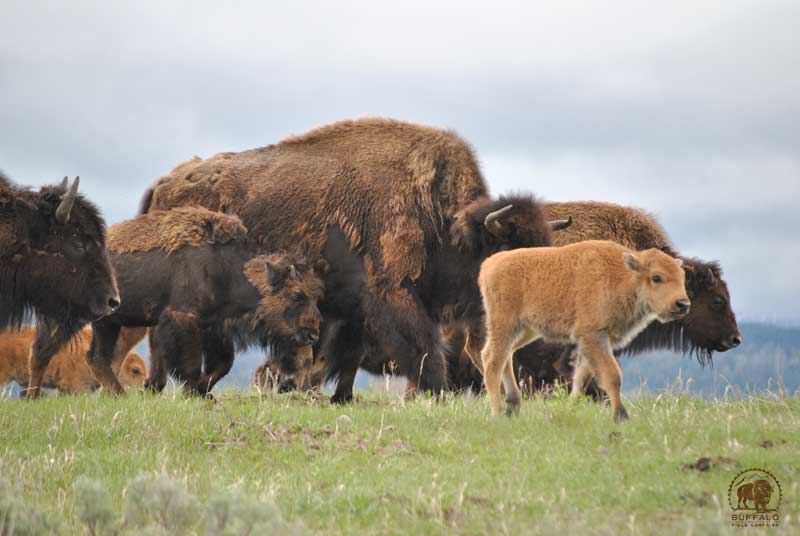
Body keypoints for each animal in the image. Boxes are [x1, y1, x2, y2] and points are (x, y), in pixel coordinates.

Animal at [95, 207, 326, 396]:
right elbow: (191, 364)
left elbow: (222, 365)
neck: (228, 268)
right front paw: (193, 392)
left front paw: (200, 392)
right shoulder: (184, 319)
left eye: (315, 297)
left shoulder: (213, 326)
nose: (313, 334)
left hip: (107, 323)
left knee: (97, 357)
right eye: (297, 295)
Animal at [139, 117, 568, 402]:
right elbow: (425, 348)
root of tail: (163, 184)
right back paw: (161, 387)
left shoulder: (353, 308)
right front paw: (437, 392)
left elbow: (349, 356)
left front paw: (341, 398)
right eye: (504, 254)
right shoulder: (391, 294)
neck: (442, 220)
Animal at [478, 241, 692, 420]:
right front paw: (621, 416)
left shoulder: (591, 342)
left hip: (525, 330)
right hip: (504, 324)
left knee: (506, 354)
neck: (622, 275)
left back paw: (513, 405)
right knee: (492, 359)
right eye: (656, 277)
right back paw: (497, 413)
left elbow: (581, 378)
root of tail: (489, 263)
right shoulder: (594, 336)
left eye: (682, 277)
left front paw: (569, 409)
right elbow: (612, 375)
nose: (682, 304)